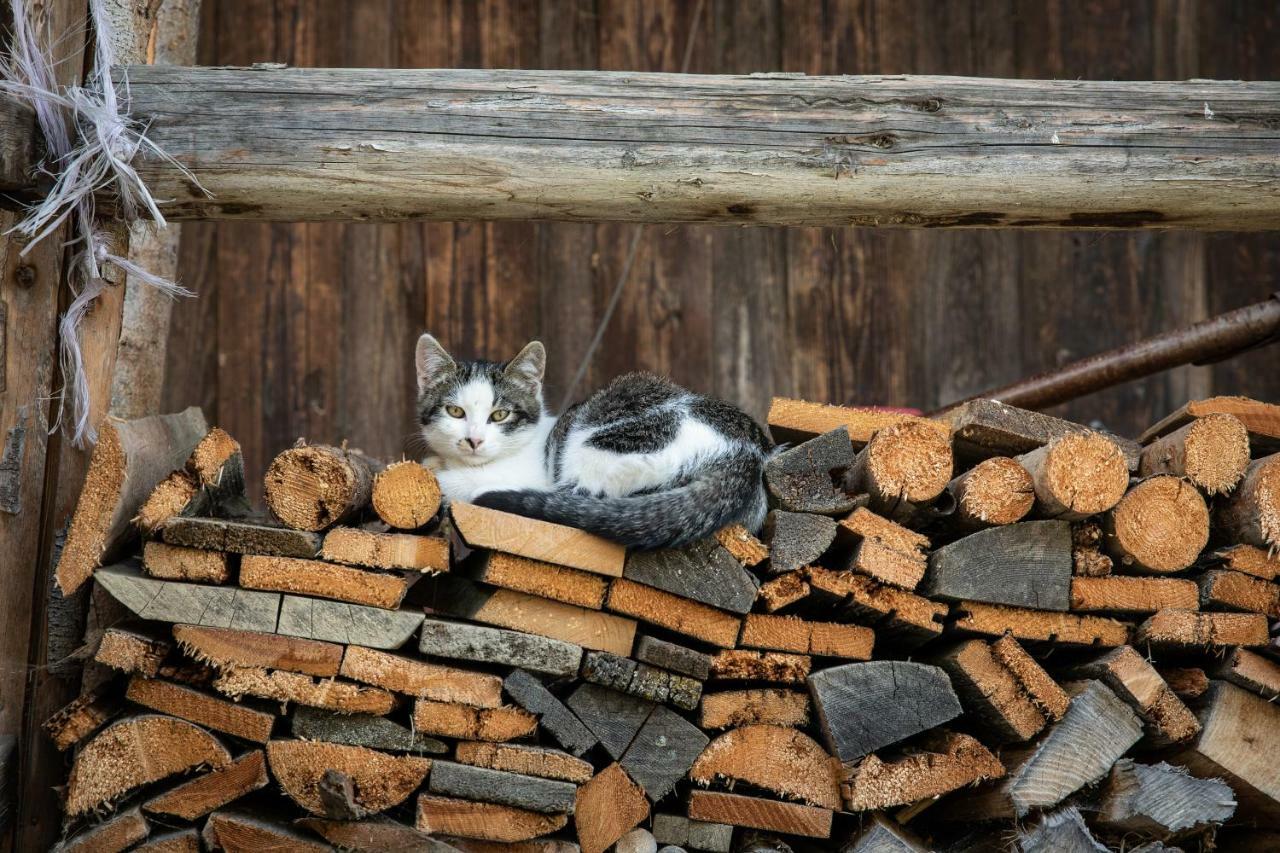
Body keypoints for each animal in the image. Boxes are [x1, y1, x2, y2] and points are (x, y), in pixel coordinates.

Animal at [414, 333, 768, 545]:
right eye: (455, 411)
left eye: (500, 415)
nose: (473, 440)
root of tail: (745, 451)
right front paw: (435, 461)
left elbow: (456, 479)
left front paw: (437, 473)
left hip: (603, 440)